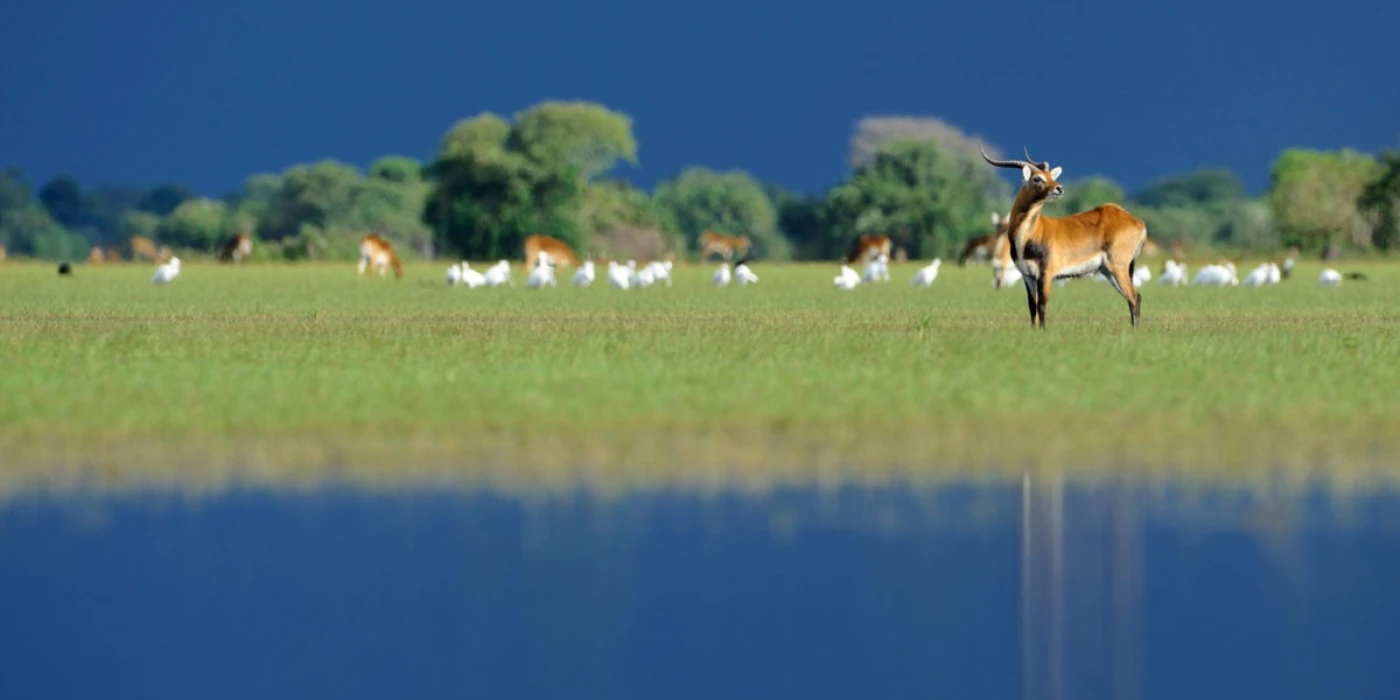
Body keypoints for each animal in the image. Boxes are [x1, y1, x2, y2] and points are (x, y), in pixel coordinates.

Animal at [985, 145, 1148, 330]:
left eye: (1050, 176)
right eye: (1037, 178)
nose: (1059, 188)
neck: (1029, 234)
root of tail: (1136, 221)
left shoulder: (1046, 273)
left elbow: (1042, 305)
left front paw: (1043, 331)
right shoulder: (1027, 275)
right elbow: (1032, 306)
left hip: (1117, 268)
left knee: (1134, 297)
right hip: (1108, 271)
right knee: (1132, 297)